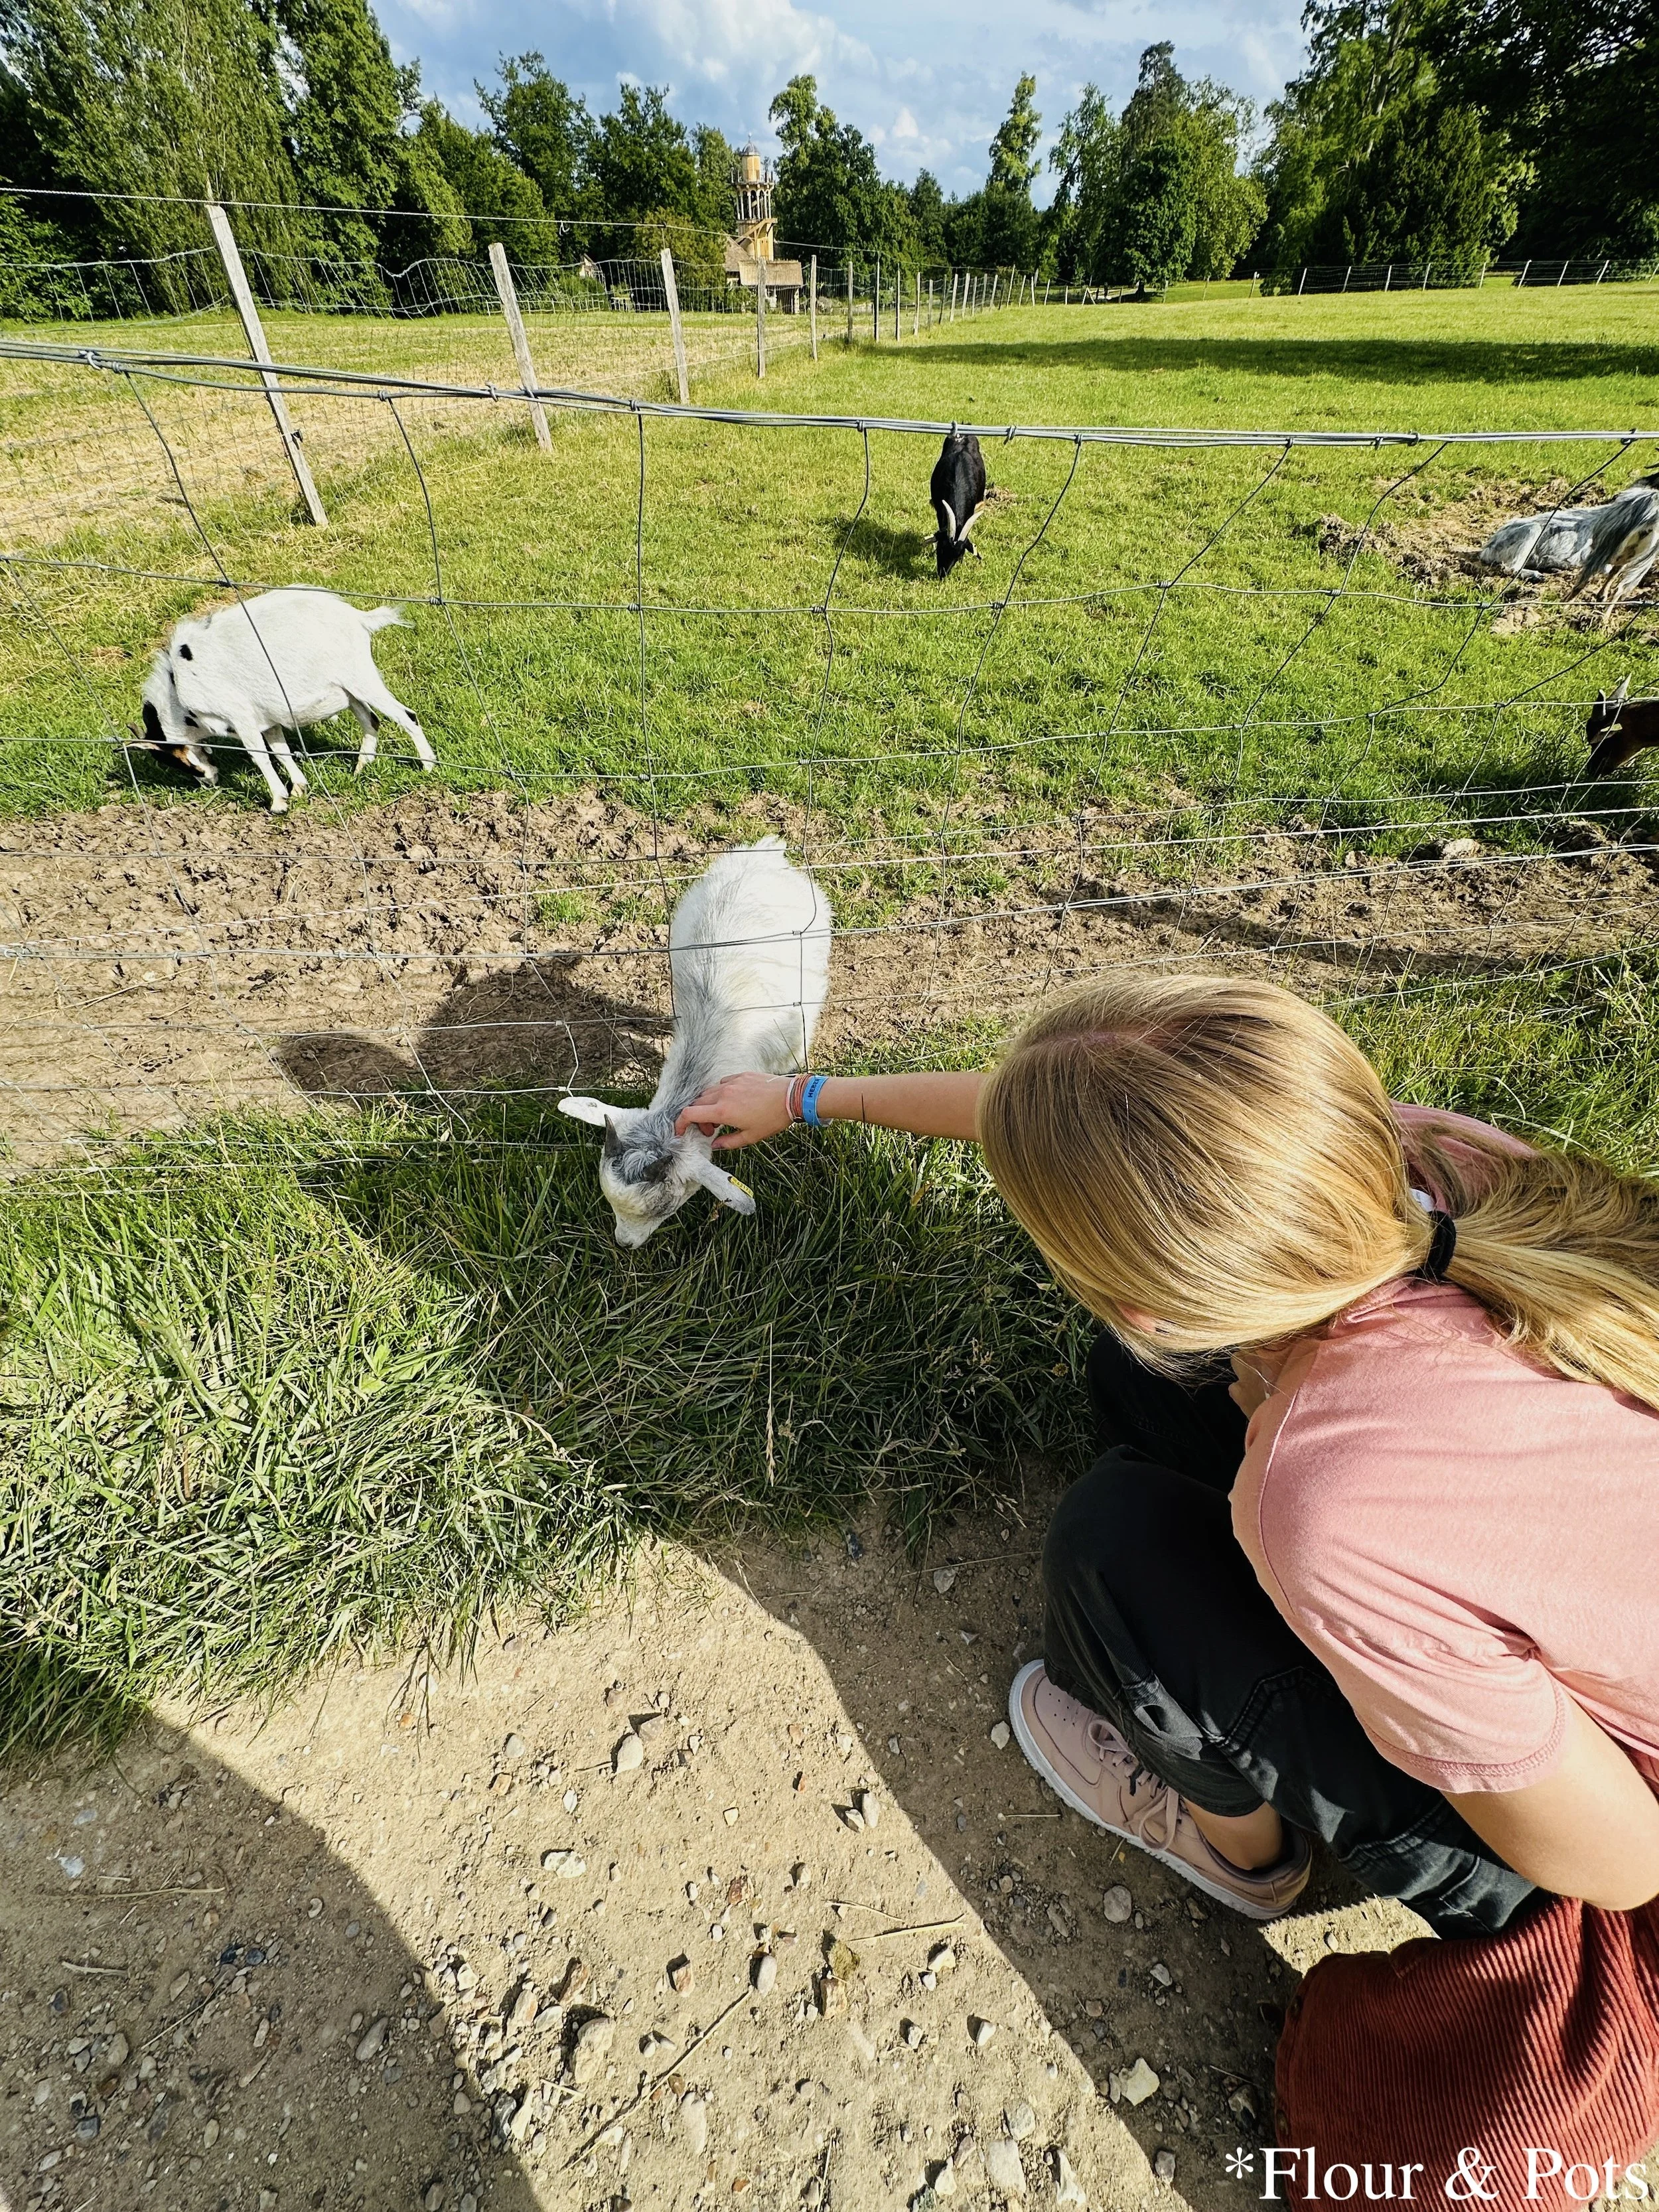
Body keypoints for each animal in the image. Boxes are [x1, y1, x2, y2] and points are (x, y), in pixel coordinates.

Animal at [133, 587, 435, 813]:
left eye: (168, 757)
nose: (208, 781)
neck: (177, 692)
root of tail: (358, 618)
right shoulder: (268, 721)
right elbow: (280, 751)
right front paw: (299, 789)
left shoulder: (240, 716)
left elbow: (260, 756)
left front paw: (279, 803)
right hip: (350, 690)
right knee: (371, 719)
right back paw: (362, 768)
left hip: (360, 677)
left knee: (406, 716)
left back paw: (428, 765)